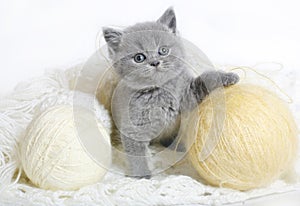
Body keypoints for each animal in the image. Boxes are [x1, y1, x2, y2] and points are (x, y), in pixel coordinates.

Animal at [103, 7, 239, 179]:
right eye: (139, 58)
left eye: (163, 50)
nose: (155, 62)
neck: (161, 90)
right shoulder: (133, 126)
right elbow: (137, 153)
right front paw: (142, 175)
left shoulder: (189, 92)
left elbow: (206, 78)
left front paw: (228, 76)